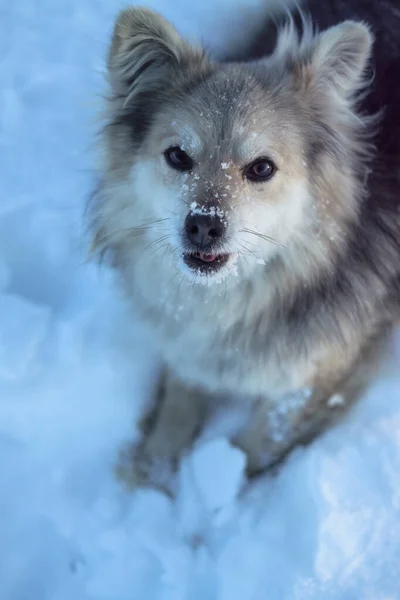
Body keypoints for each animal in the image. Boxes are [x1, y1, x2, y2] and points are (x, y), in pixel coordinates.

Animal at [90, 1, 400, 492]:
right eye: (177, 156)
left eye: (262, 168)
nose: (202, 226)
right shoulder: (188, 344)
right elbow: (177, 403)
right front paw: (153, 472)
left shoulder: (320, 375)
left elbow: (261, 443)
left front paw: (224, 494)